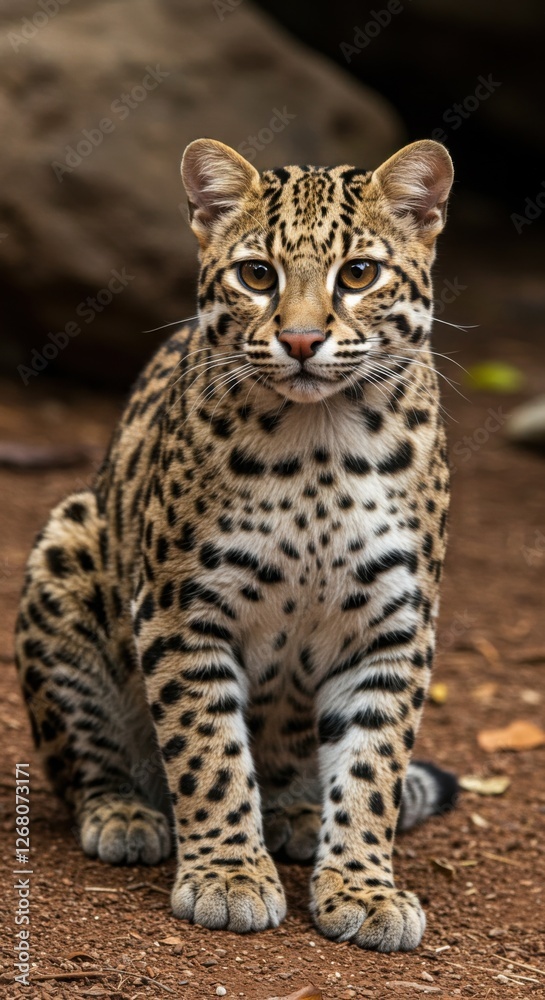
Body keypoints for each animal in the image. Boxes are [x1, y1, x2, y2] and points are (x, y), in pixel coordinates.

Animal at [15, 137, 458, 952]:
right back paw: (126, 815)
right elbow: (207, 751)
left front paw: (364, 888)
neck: (320, 446)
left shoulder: (394, 625)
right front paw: (227, 876)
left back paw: (298, 813)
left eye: (358, 273)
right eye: (257, 275)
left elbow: (373, 766)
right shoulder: (180, 609)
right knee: (84, 762)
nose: (302, 340)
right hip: (66, 545)